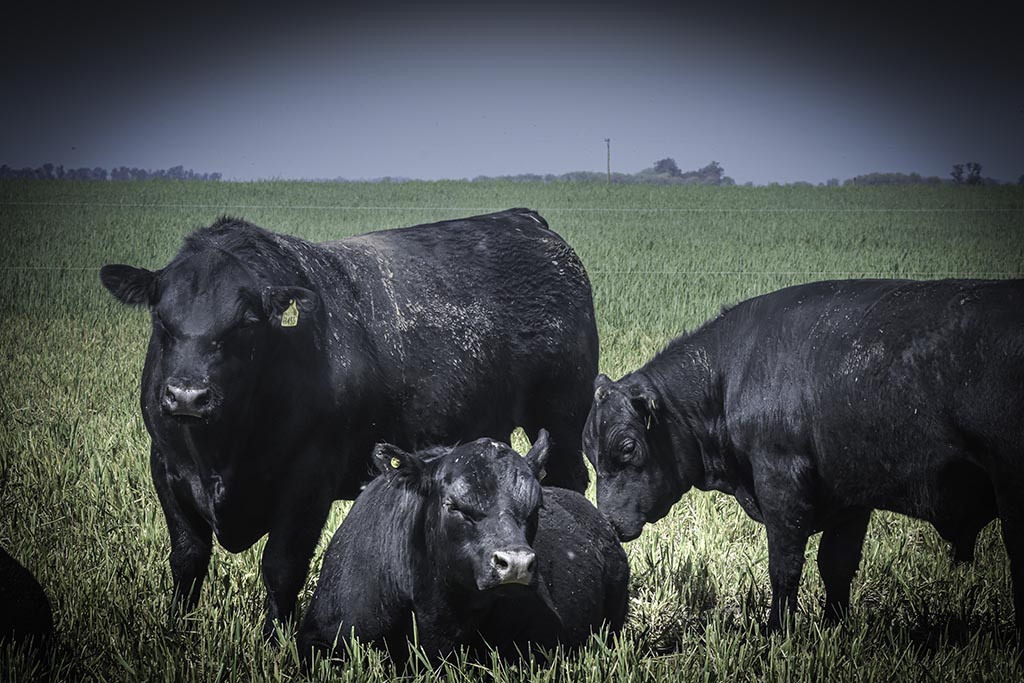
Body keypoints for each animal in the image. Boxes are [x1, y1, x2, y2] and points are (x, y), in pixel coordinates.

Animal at [99, 208, 598, 634]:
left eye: (244, 323)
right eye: (161, 320)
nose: (187, 395)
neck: (220, 452)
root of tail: (523, 220)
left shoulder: (308, 481)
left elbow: (281, 566)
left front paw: (274, 639)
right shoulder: (167, 469)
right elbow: (188, 560)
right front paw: (176, 630)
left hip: (562, 417)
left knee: (570, 481)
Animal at [585, 280, 1024, 634]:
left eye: (627, 447)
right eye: (590, 453)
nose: (608, 522)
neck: (728, 375)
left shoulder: (780, 481)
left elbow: (785, 566)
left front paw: (776, 631)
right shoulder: (850, 495)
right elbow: (837, 565)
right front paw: (834, 627)